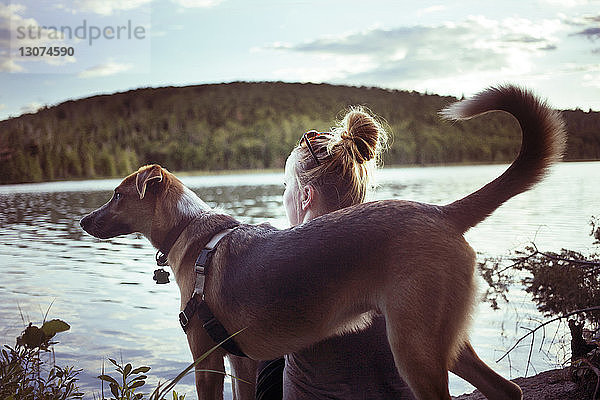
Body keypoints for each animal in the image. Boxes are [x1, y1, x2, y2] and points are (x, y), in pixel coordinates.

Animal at [81, 85, 568, 400]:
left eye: (117, 195)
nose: (84, 220)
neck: (193, 231)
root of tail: (440, 212)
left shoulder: (207, 360)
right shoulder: (242, 362)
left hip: (413, 345)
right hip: (440, 337)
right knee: (507, 390)